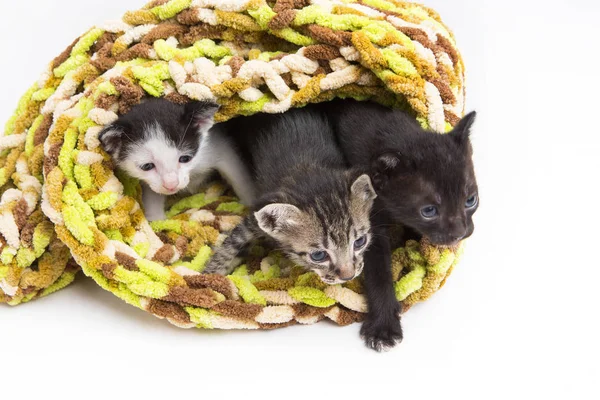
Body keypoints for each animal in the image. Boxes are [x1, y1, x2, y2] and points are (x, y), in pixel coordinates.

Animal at [98, 99, 255, 220]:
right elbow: (153, 194)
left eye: (185, 158)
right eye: (147, 166)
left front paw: (249, 204)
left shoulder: (219, 147)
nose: (171, 185)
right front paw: (157, 222)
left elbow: (239, 177)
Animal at [204, 106, 378, 284]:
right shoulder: (256, 216)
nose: (348, 276)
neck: (307, 170)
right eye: (318, 255)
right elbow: (232, 245)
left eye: (360, 242)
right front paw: (209, 274)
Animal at [318, 98, 478, 352]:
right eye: (429, 211)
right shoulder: (366, 229)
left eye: (471, 200)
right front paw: (384, 327)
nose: (460, 232)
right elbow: (379, 273)